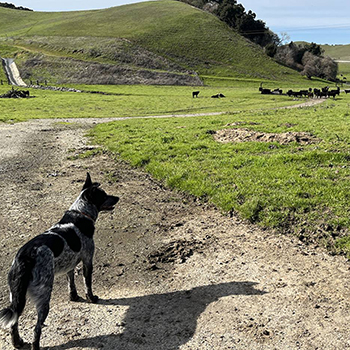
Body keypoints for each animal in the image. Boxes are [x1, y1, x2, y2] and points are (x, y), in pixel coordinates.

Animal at [0, 173, 119, 350]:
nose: (118, 198)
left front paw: (74, 296)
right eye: (104, 195)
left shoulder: (70, 264)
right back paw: (35, 346)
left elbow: (71, 282)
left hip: (15, 295)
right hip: (43, 296)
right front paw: (92, 298)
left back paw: (18, 343)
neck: (80, 213)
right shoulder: (87, 261)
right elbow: (88, 284)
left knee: (13, 323)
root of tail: (25, 257)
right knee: (37, 328)